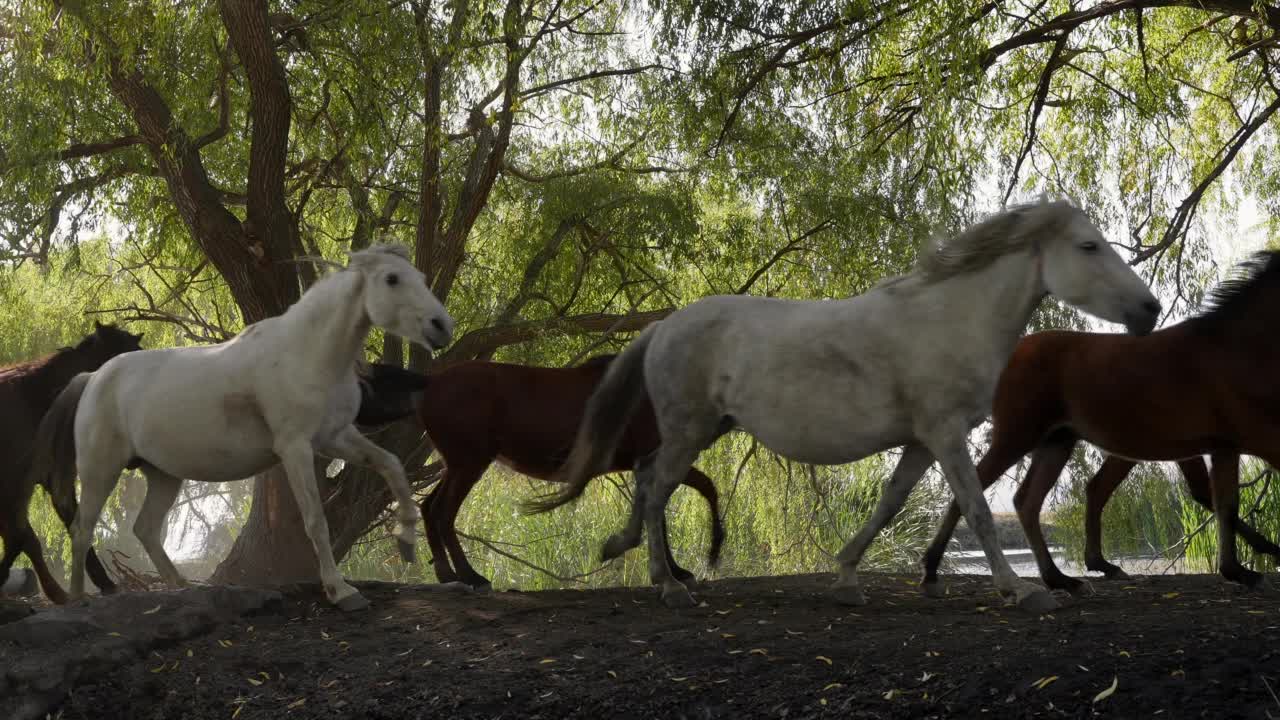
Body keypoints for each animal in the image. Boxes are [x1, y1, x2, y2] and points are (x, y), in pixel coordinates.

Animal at [23, 243, 455, 607]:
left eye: (419, 276)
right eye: (392, 279)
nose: (441, 326)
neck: (308, 353)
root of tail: (93, 378)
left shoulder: (336, 437)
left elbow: (392, 466)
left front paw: (406, 541)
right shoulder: (296, 448)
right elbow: (316, 521)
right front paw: (340, 591)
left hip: (163, 474)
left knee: (145, 528)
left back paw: (181, 587)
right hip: (102, 470)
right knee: (82, 530)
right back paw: (78, 598)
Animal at [355, 356, 727, 586]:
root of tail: (430, 383)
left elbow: (662, 514)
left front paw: (676, 571)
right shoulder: (654, 459)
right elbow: (706, 489)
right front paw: (710, 554)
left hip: (459, 464)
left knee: (429, 507)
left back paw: (449, 575)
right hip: (470, 462)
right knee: (443, 512)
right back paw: (470, 576)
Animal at [527, 197, 1162, 609]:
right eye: (1088, 246)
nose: (1150, 310)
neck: (948, 321)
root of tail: (664, 326)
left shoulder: (922, 442)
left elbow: (889, 505)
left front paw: (847, 575)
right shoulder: (946, 434)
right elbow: (977, 510)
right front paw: (1021, 590)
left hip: (706, 428)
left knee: (645, 474)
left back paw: (628, 549)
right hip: (691, 428)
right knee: (658, 486)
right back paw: (667, 583)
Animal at [926, 251, 1280, 594]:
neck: (1229, 347)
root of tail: (1014, 351)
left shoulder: (1225, 446)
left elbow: (1226, 504)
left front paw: (1240, 570)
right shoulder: (1250, 436)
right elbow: (1223, 500)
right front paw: (1254, 563)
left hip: (1058, 442)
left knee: (1031, 501)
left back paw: (1062, 578)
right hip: (1017, 435)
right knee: (977, 491)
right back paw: (931, 568)